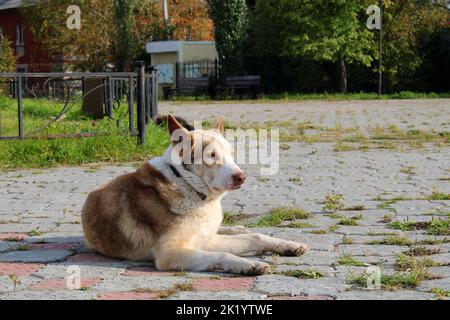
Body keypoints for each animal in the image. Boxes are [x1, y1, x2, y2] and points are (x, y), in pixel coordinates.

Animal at [81, 115, 308, 276]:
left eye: (230, 154)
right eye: (211, 155)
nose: (242, 177)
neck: (187, 186)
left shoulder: (205, 240)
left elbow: (255, 237)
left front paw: (288, 246)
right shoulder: (170, 253)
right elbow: (224, 253)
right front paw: (249, 264)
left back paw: (238, 227)